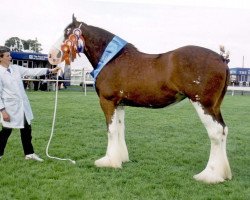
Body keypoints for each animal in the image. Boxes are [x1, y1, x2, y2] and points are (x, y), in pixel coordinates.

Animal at [48, 15, 232, 184]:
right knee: (223, 130)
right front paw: (120, 159)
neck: (112, 59)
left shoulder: (107, 102)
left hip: (203, 104)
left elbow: (111, 130)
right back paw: (223, 174)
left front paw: (108, 161)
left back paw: (209, 175)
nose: (52, 56)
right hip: (215, 106)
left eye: (68, 32)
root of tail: (221, 58)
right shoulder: (119, 104)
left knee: (215, 132)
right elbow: (120, 129)